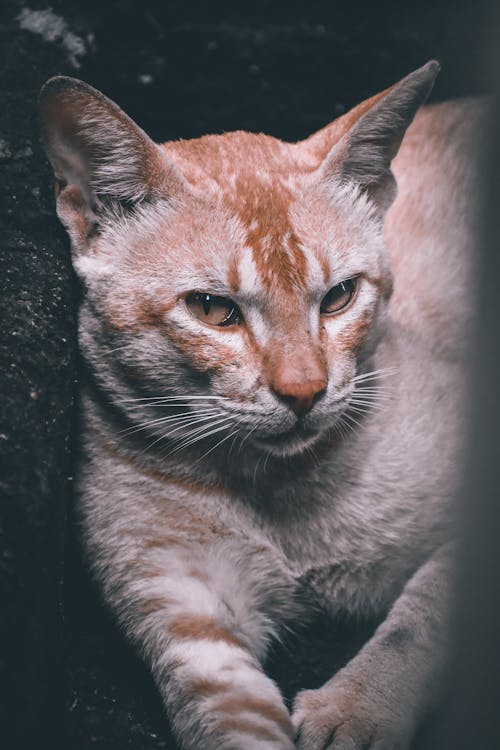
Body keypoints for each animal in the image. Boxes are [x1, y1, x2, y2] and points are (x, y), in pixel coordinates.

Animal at [40, 61, 480, 748]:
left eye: (339, 297)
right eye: (213, 309)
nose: (304, 390)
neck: (273, 486)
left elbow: (420, 617)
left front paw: (356, 708)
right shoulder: (190, 617)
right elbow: (234, 723)